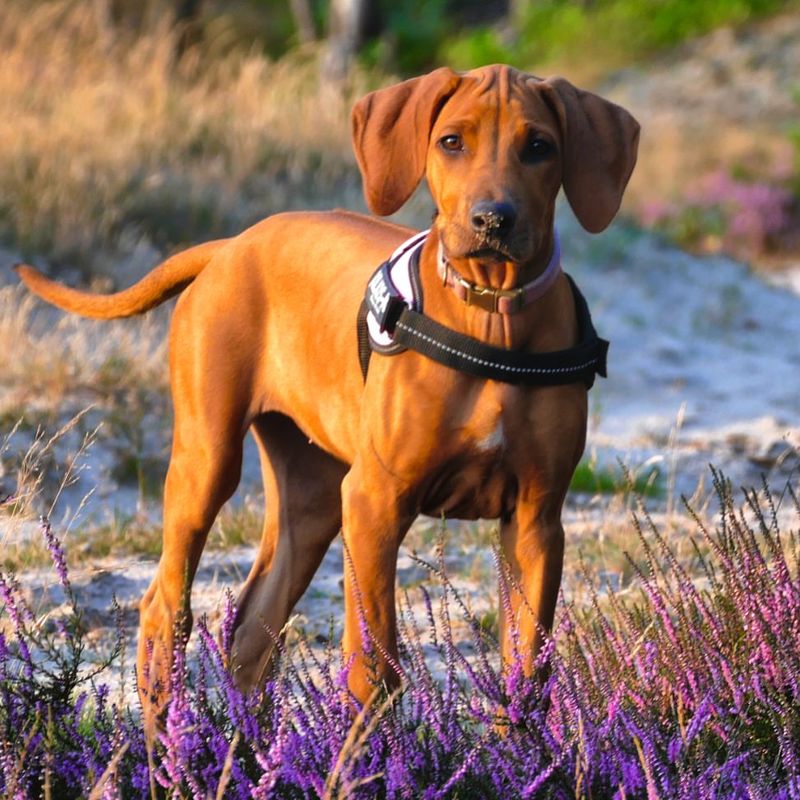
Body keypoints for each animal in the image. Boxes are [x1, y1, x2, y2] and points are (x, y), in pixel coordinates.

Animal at [15, 64, 640, 724]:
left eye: (539, 146)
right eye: (452, 142)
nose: (493, 220)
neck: (492, 316)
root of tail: (233, 244)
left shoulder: (536, 521)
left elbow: (527, 676)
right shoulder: (374, 501)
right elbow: (373, 668)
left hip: (311, 499)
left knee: (252, 631)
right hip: (209, 461)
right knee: (166, 607)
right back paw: (169, 742)